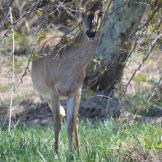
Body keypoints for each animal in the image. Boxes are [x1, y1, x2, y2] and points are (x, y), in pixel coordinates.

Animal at [31, 0, 103, 154]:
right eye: (82, 12)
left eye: (101, 12)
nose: (91, 32)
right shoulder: (53, 89)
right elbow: (57, 123)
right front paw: (56, 153)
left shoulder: (74, 90)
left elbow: (70, 124)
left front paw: (71, 153)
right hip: (46, 95)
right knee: (61, 116)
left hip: (78, 93)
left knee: (75, 120)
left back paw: (78, 149)